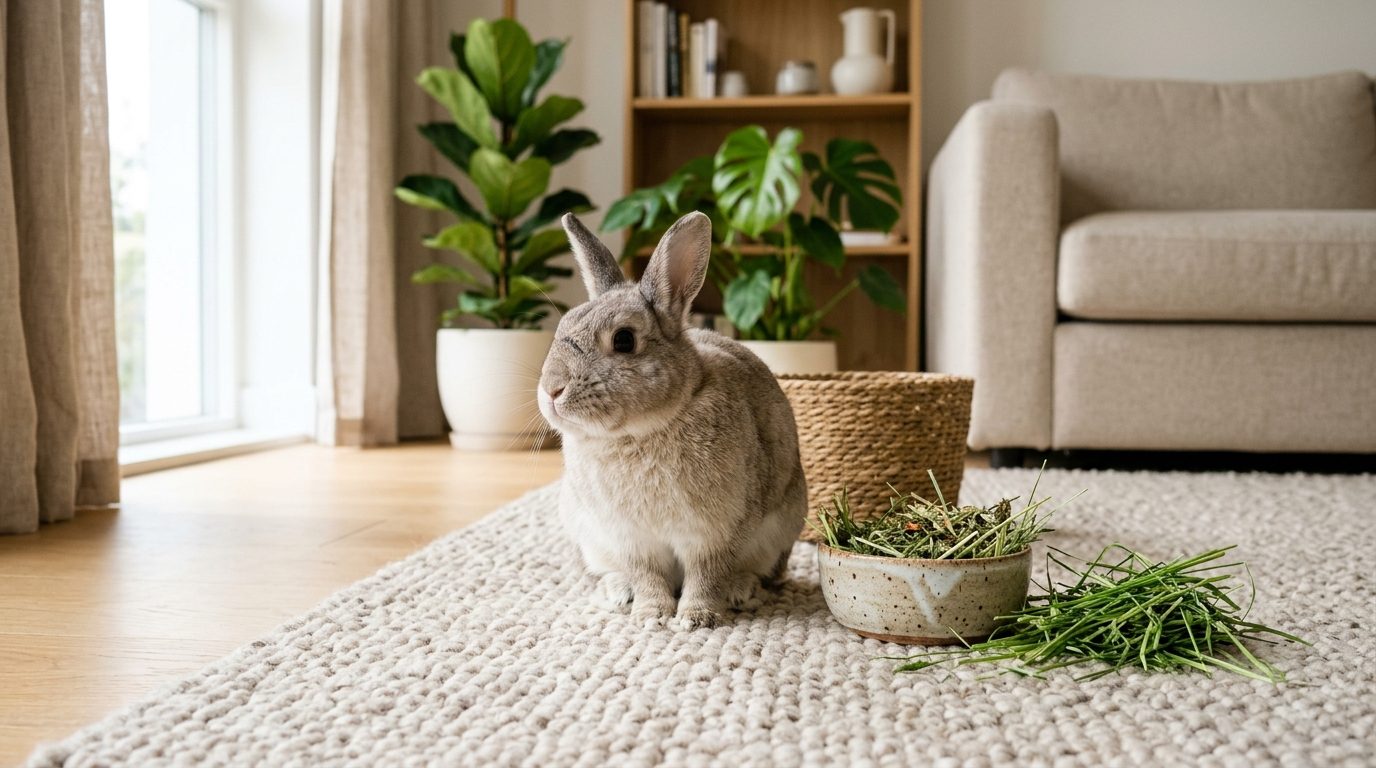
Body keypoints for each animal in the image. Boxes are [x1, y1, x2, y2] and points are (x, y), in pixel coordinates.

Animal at [537, 211, 807, 629]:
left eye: (624, 340)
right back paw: (618, 593)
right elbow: (647, 575)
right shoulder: (632, 540)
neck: (640, 433)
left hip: (782, 531)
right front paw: (651, 615)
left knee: (760, 573)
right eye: (562, 326)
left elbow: (706, 575)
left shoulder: (714, 534)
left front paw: (696, 618)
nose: (552, 389)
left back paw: (741, 591)